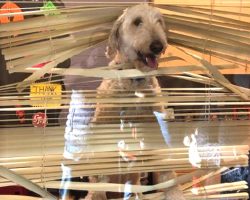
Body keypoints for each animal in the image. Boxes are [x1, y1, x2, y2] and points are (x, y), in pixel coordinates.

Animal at [90, 4, 186, 200]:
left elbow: (167, 173)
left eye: (159, 21)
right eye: (137, 22)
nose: (158, 46)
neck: (135, 81)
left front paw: (175, 192)